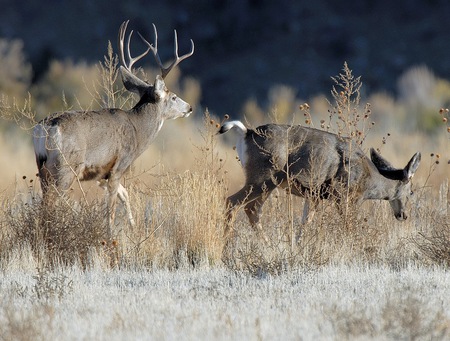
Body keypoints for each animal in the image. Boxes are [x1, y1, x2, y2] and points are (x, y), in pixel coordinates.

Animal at [31, 20, 193, 239]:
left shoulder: (101, 174)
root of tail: (45, 128)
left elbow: (125, 195)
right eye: (174, 96)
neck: (138, 130)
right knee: (49, 203)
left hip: (42, 168)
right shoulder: (119, 164)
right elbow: (112, 207)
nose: (189, 108)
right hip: (66, 166)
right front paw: (111, 236)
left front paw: (133, 228)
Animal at [219, 120, 422, 239]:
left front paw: (298, 247)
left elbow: (305, 223)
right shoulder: (345, 195)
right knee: (234, 203)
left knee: (251, 209)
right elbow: (348, 225)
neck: (369, 179)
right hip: (264, 177)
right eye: (411, 191)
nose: (404, 215)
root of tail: (247, 132)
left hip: (265, 181)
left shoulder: (314, 196)